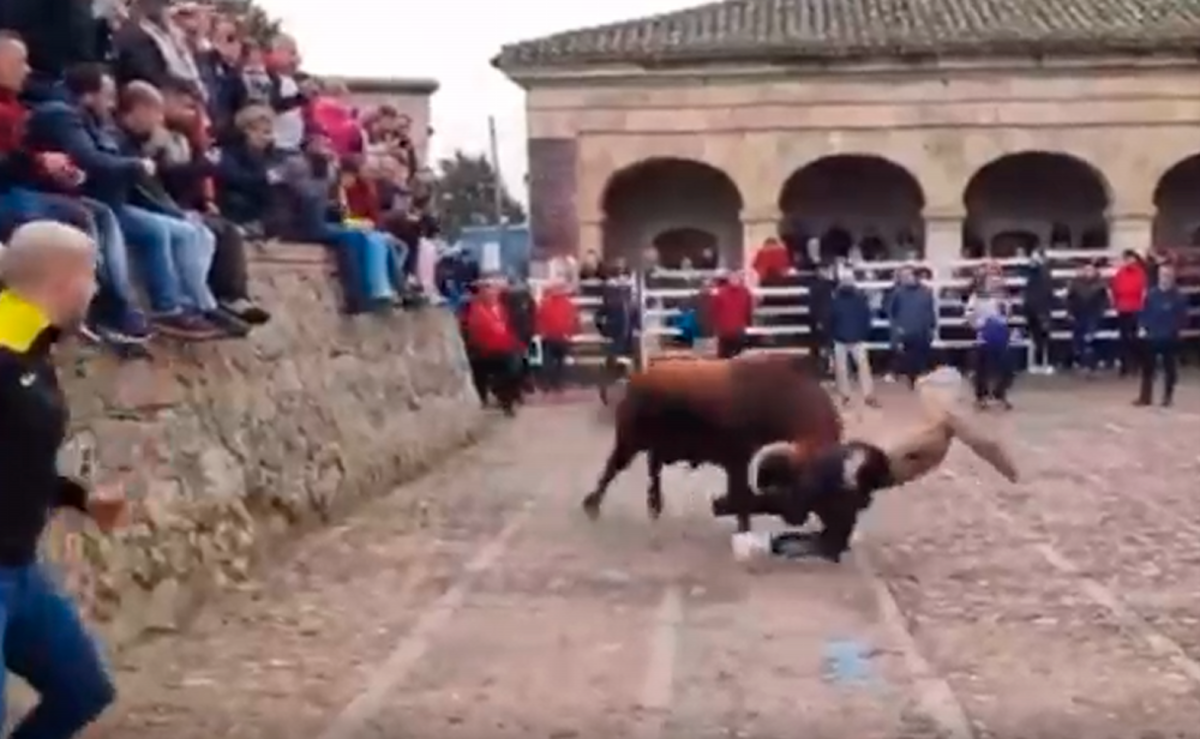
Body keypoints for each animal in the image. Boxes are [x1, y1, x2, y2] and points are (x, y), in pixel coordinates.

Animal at [580, 357, 1012, 559]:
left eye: (858, 502)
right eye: (824, 496)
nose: (834, 544)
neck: (775, 398)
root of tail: (640, 375)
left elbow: (741, 499)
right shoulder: (738, 460)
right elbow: (742, 499)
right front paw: (741, 530)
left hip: (655, 447)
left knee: (652, 470)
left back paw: (654, 505)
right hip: (628, 440)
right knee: (611, 470)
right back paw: (593, 505)